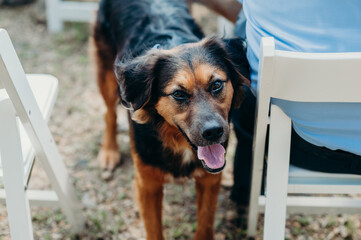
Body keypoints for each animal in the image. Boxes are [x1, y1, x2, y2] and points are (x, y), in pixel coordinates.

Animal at [91, 0, 249, 238]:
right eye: (178, 94)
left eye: (216, 85)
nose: (214, 132)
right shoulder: (147, 183)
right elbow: (154, 229)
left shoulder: (210, 180)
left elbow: (205, 223)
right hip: (107, 73)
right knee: (109, 112)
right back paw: (109, 151)